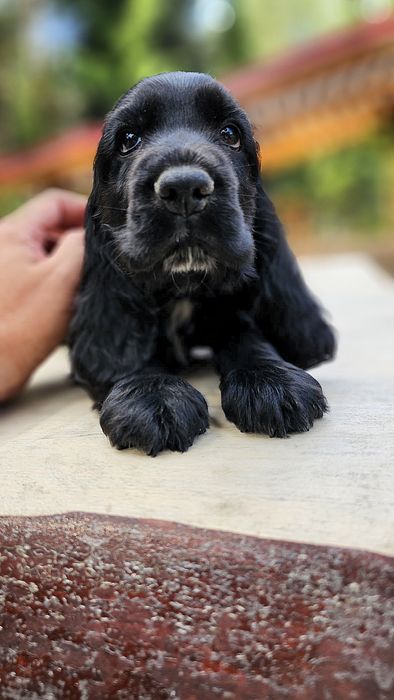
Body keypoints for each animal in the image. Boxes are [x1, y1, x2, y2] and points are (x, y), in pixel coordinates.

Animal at [68, 71, 336, 454]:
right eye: (128, 140)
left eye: (230, 134)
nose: (184, 188)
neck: (184, 289)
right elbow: (133, 349)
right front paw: (154, 397)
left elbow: (244, 333)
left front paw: (272, 380)